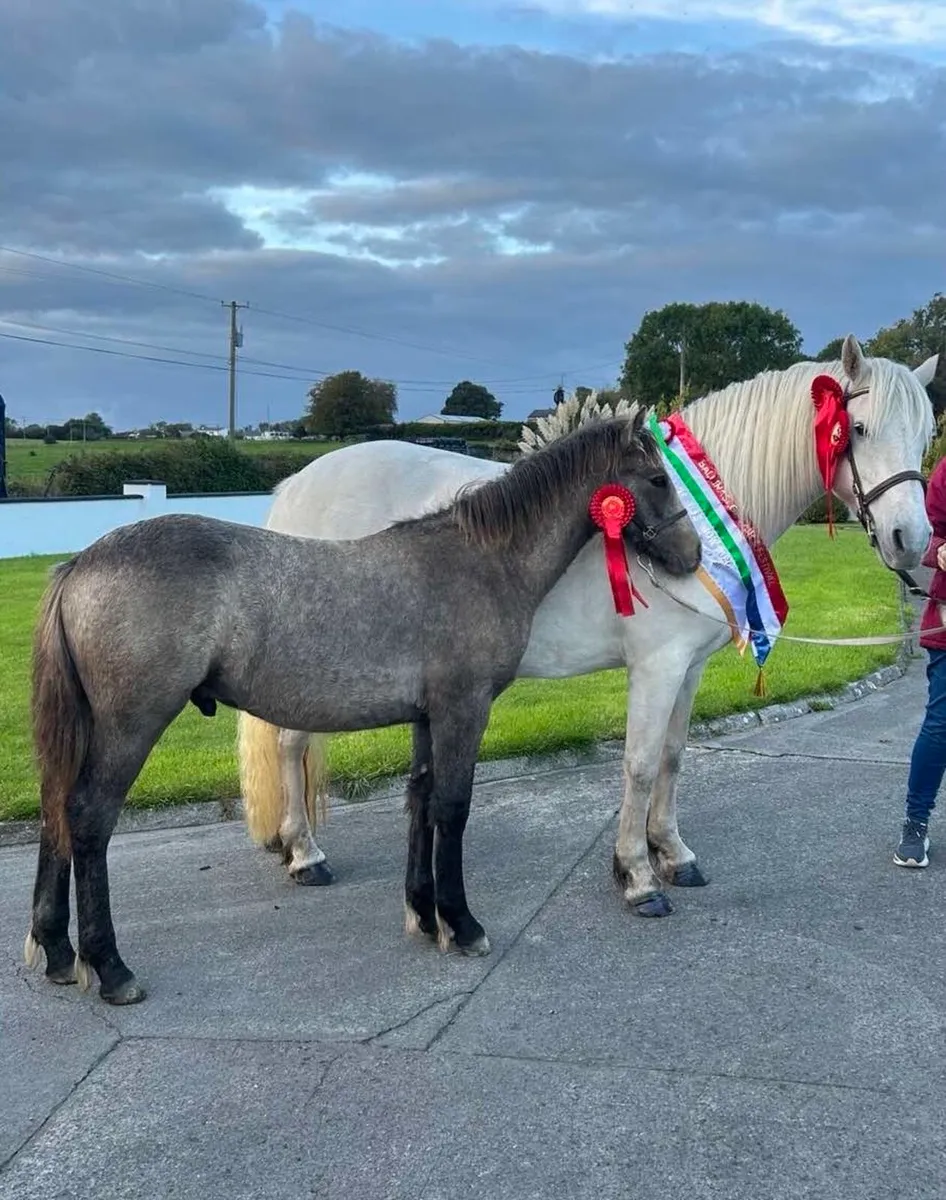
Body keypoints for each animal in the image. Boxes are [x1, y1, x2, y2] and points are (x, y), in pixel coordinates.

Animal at [24, 411, 700, 1005]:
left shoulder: (429, 717)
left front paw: (425, 917)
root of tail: (81, 563)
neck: (480, 560)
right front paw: (463, 924)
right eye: (657, 478)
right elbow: (452, 809)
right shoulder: (463, 710)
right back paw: (110, 968)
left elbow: (420, 801)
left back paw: (57, 953)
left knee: (57, 812)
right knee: (87, 820)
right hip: (129, 726)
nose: (691, 555)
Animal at [238, 335, 939, 917]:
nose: (911, 539)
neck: (701, 515)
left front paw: (672, 854)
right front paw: (637, 877)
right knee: (290, 745)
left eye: (927, 432)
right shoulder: (656, 668)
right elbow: (639, 764)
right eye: (857, 427)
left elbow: (673, 757)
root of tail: (296, 485)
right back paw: (305, 854)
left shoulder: (690, 668)